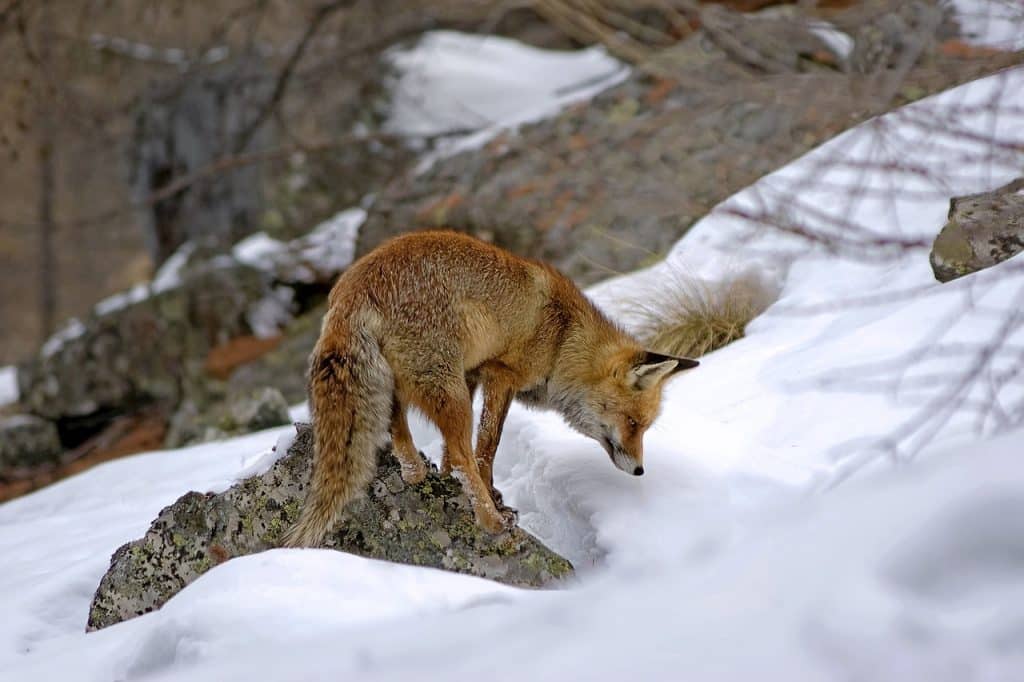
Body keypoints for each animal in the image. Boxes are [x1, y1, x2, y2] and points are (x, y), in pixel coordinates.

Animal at [282, 231, 698, 547]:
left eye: (643, 427)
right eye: (633, 423)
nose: (641, 470)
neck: (563, 339)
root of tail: (352, 289)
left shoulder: (472, 374)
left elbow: (455, 454)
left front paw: (448, 477)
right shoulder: (500, 374)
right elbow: (485, 449)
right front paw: (491, 499)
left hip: (413, 382)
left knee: (398, 424)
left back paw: (415, 471)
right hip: (449, 393)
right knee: (462, 451)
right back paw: (490, 521)